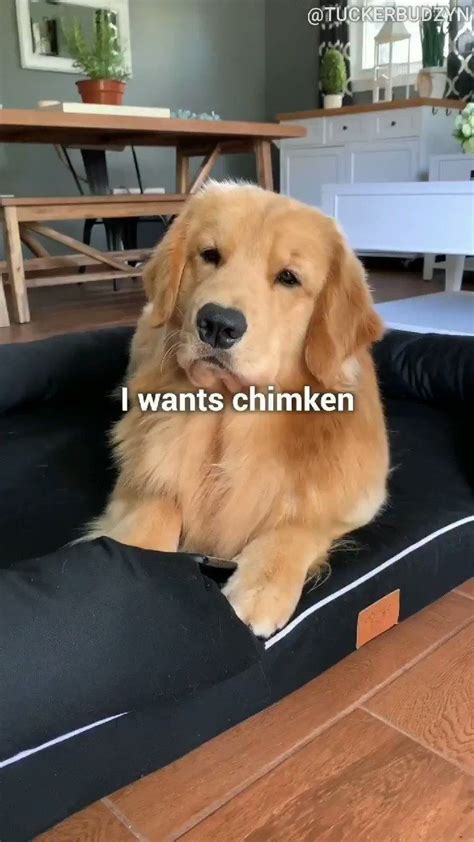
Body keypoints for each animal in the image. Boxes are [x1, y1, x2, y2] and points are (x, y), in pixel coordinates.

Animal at [88, 182, 389, 638]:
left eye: (289, 278)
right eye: (210, 254)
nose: (218, 324)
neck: (227, 417)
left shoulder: (359, 494)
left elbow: (300, 523)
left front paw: (261, 587)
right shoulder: (137, 480)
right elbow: (157, 503)